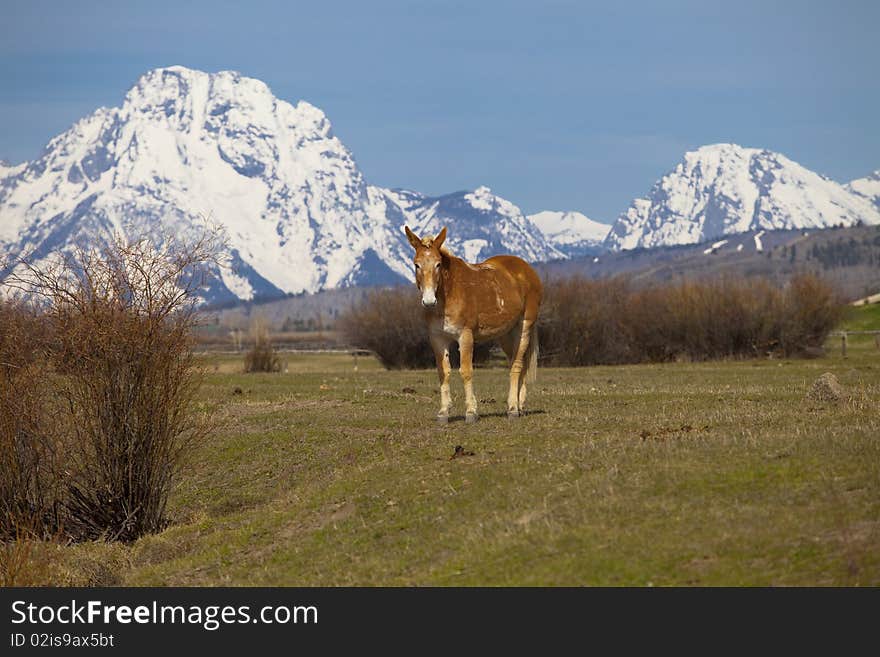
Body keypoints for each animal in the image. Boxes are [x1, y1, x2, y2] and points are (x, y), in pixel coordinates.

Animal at [406, 224, 544, 420]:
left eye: (438, 264)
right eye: (416, 264)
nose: (429, 301)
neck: (448, 295)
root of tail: (527, 269)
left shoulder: (465, 336)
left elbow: (466, 371)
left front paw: (471, 411)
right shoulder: (437, 338)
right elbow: (443, 372)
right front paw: (443, 411)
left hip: (524, 327)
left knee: (517, 365)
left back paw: (513, 408)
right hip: (505, 335)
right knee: (518, 364)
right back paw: (519, 405)